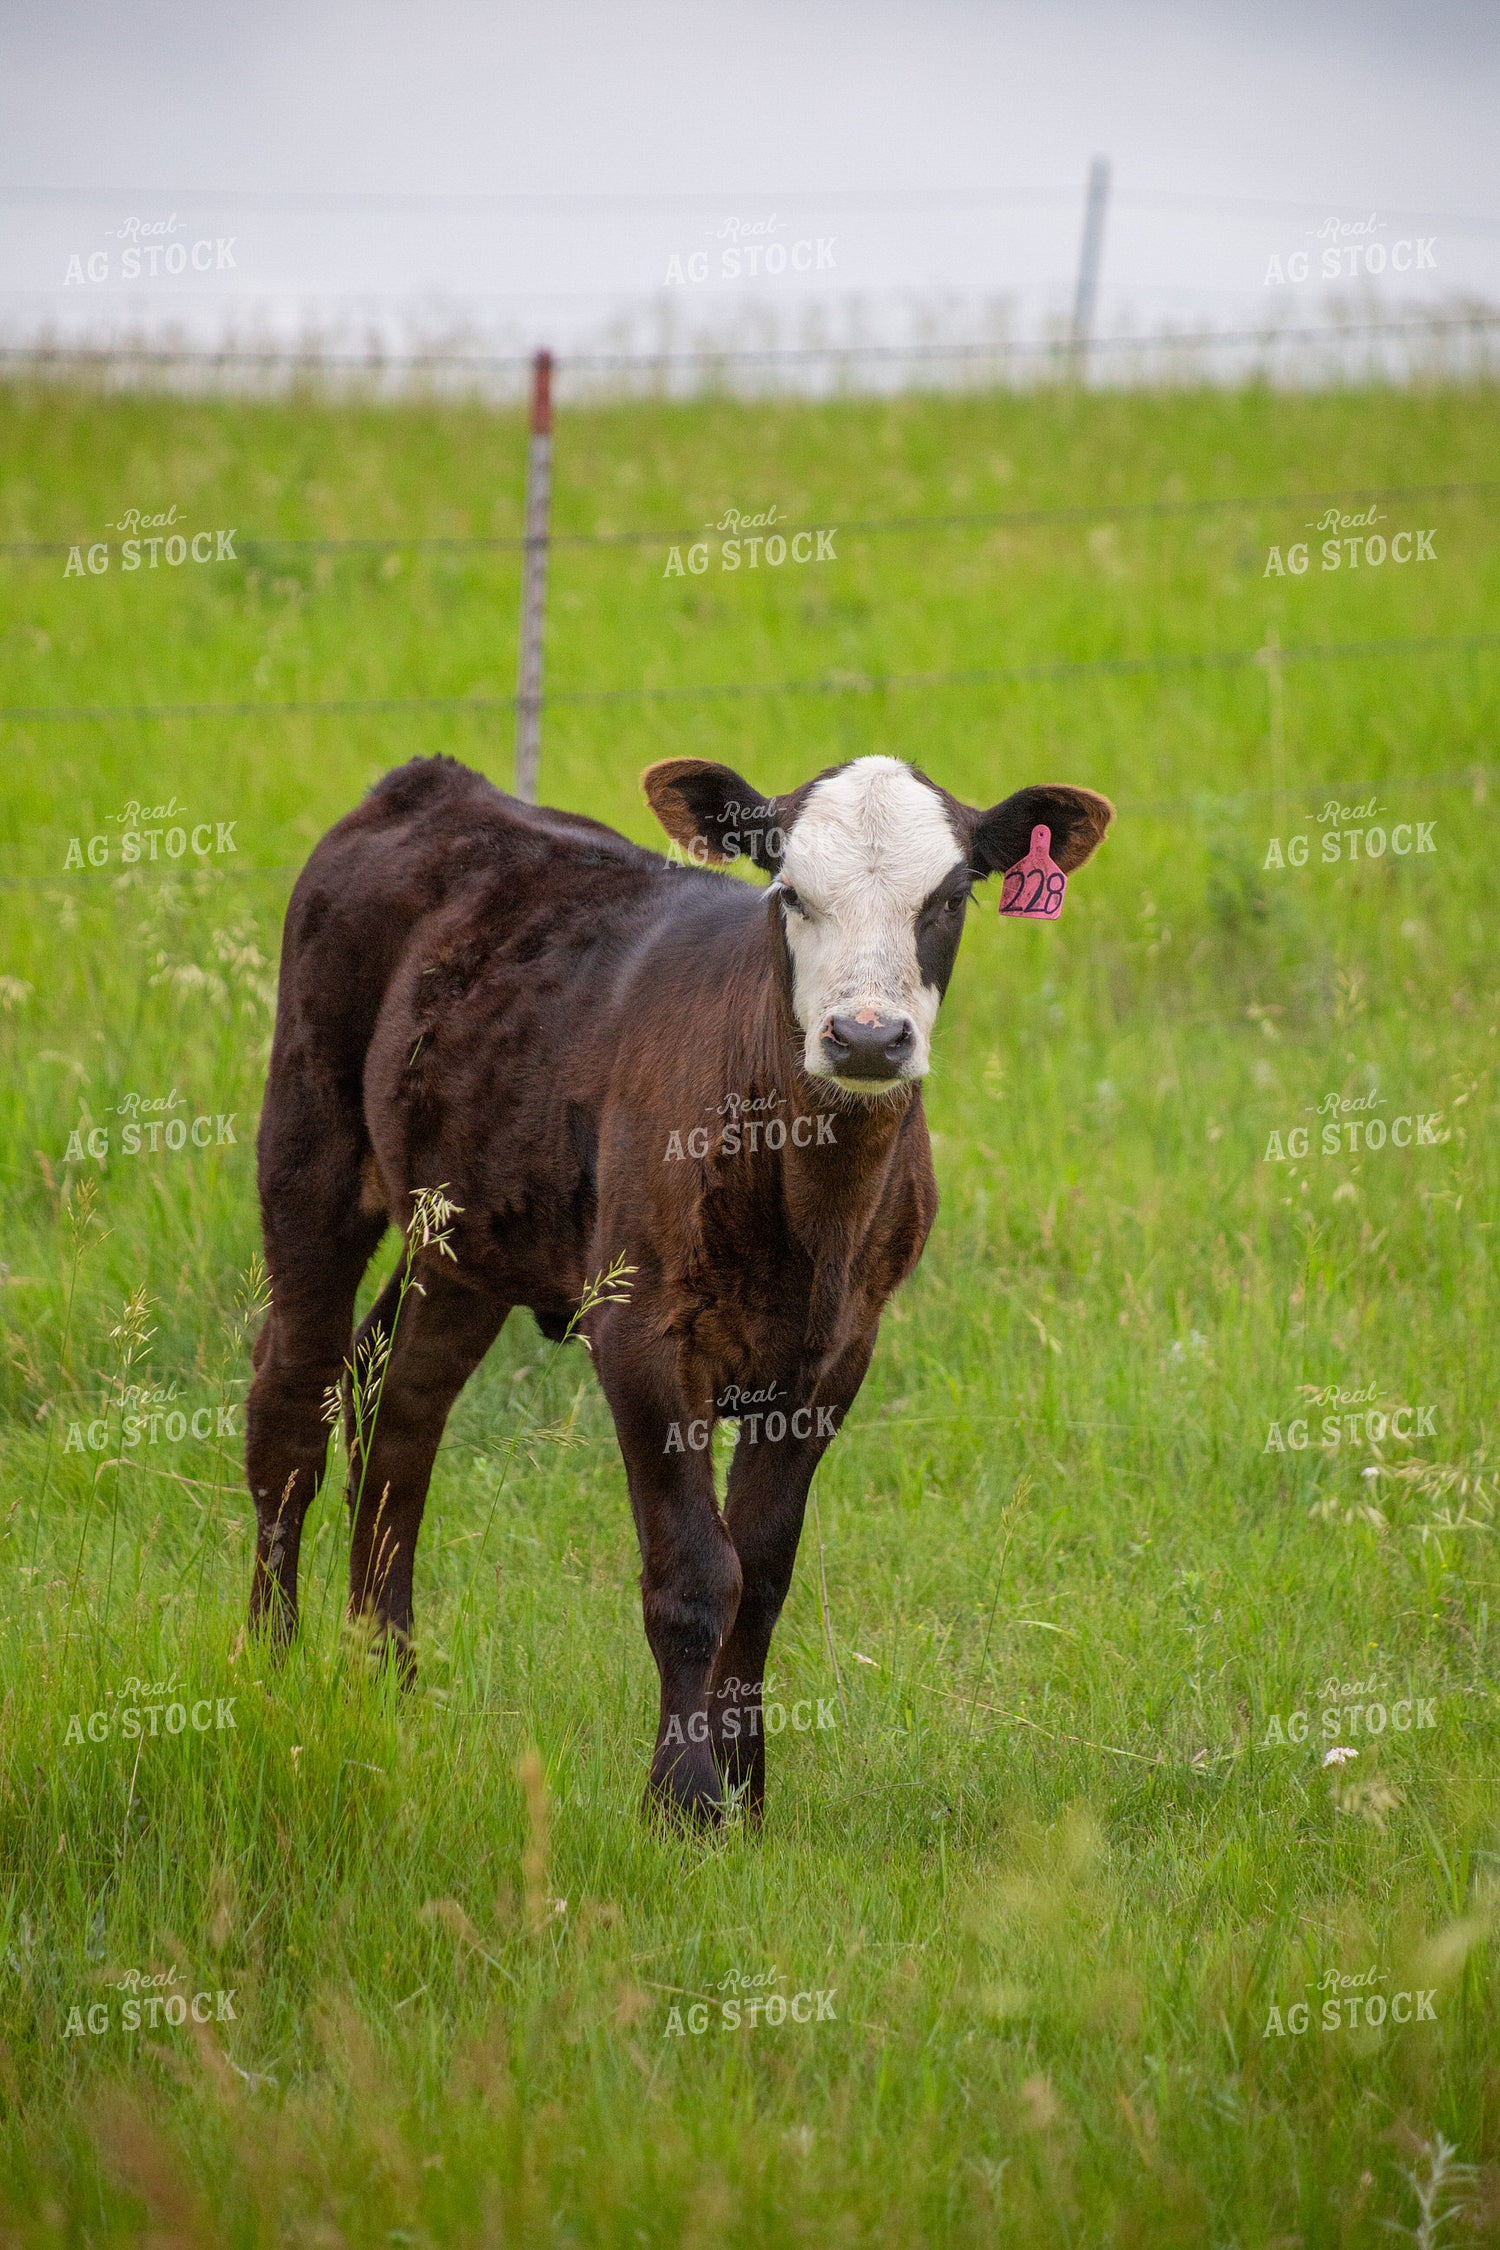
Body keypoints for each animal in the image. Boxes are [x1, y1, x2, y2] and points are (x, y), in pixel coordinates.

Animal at [245, 751, 1111, 1819]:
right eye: (789, 893)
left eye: (950, 898)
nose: (868, 1038)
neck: (811, 1205)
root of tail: (436, 784)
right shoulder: (642, 1331)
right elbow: (696, 1573)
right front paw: (685, 1799)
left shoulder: (839, 1353)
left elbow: (764, 1573)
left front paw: (748, 1786)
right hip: (308, 1145)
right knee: (291, 1404)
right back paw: (270, 1668)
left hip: (463, 1232)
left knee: (396, 1410)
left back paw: (387, 1678)